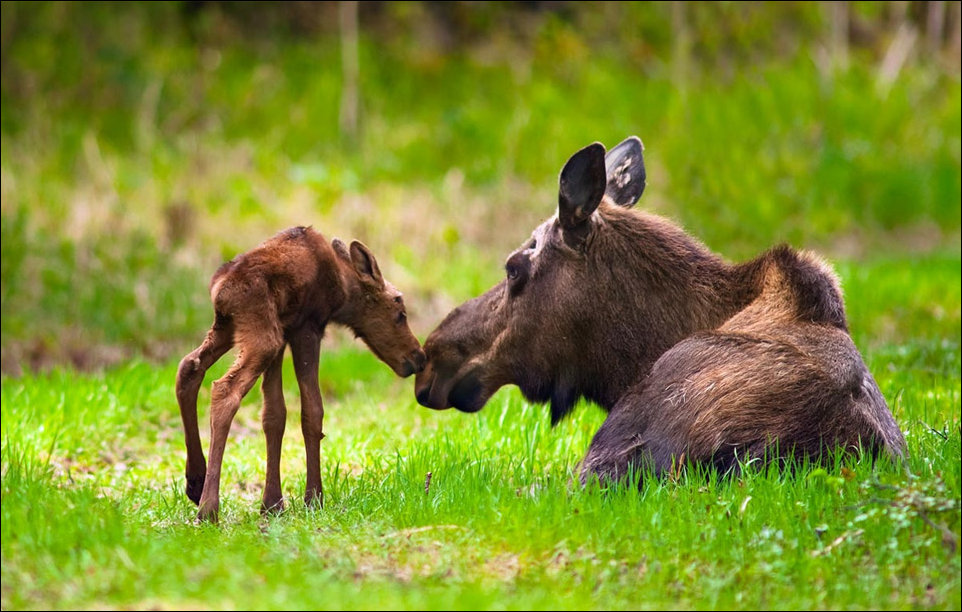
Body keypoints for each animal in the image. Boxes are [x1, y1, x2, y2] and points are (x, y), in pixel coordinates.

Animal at [176, 226, 425, 521]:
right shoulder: (307, 328)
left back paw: (195, 481)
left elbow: (274, 415)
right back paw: (208, 508)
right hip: (262, 337)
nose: (419, 357)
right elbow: (312, 411)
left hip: (232, 329)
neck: (343, 290)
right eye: (400, 313)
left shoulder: (284, 332)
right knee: (224, 390)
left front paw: (272, 504)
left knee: (188, 366)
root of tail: (220, 291)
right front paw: (314, 498)